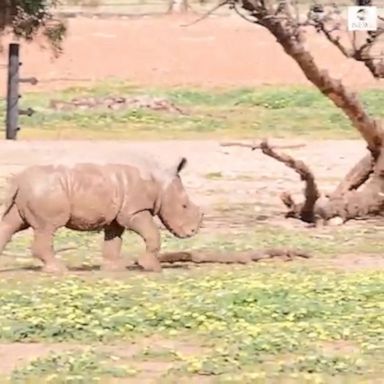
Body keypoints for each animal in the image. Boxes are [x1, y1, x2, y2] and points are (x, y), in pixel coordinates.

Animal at [0, 156, 204, 272]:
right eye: (184, 206)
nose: (192, 231)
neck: (161, 184)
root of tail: (18, 180)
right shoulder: (134, 211)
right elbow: (152, 233)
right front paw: (151, 267)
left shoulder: (118, 214)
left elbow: (114, 239)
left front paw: (114, 268)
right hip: (46, 191)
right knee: (47, 228)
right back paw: (58, 270)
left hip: (31, 192)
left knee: (11, 224)